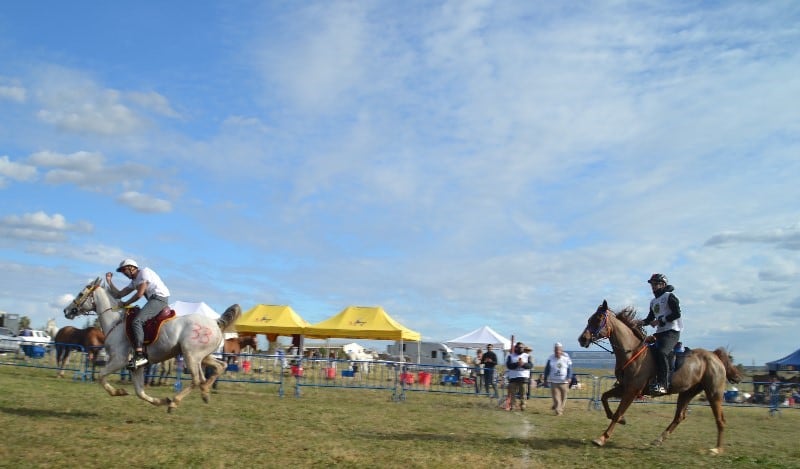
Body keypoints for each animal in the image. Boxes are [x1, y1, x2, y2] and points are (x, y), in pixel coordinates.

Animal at [63, 276, 241, 412]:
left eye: (80, 293)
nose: (66, 311)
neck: (116, 322)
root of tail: (215, 322)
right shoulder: (135, 367)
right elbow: (139, 392)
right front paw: (160, 401)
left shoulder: (119, 360)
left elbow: (101, 376)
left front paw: (119, 391)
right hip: (203, 356)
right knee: (220, 367)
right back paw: (204, 392)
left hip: (191, 355)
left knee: (197, 379)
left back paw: (175, 402)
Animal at [580, 300, 740, 454]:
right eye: (589, 319)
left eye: (598, 319)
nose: (582, 339)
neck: (632, 353)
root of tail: (715, 355)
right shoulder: (624, 387)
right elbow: (604, 397)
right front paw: (621, 420)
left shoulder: (632, 390)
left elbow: (618, 412)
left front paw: (602, 438)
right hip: (687, 392)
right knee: (679, 417)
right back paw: (658, 440)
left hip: (714, 393)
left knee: (720, 420)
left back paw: (717, 449)